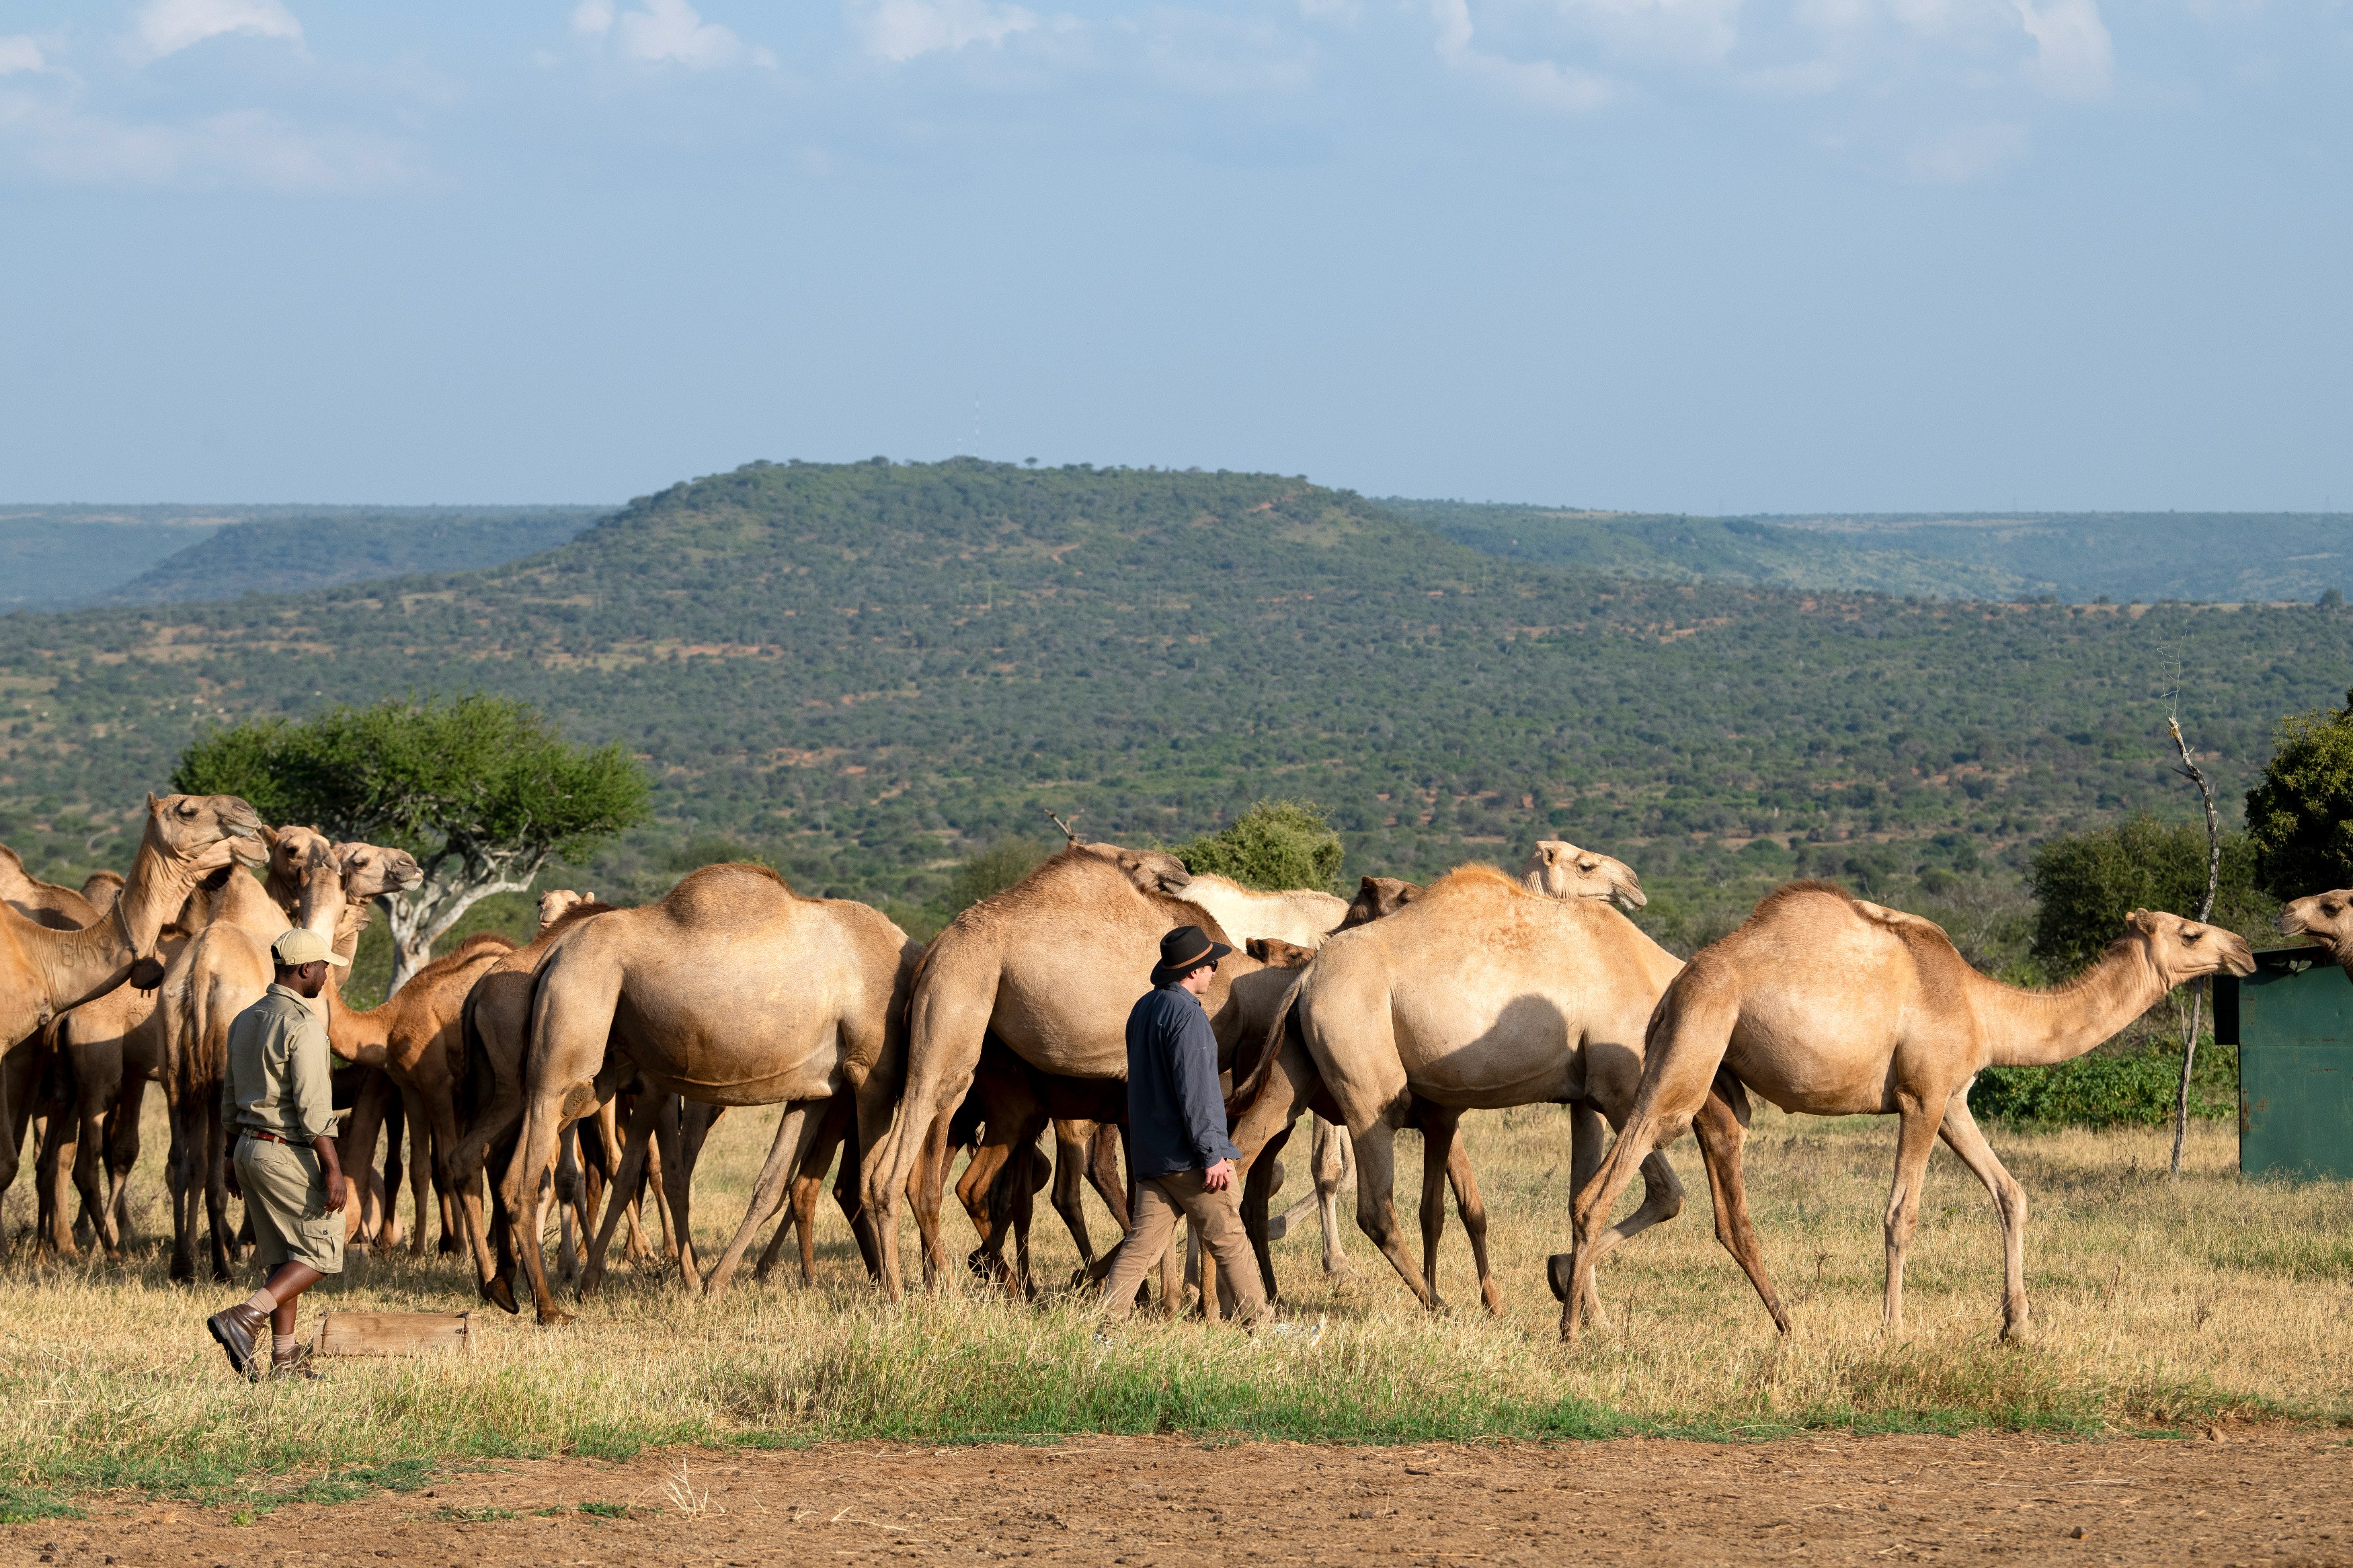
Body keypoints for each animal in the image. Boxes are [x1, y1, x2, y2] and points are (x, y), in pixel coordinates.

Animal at [498, 863, 918, 1324]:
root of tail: (553, 953)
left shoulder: (816, 1091)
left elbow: (771, 1185)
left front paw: (714, 1284)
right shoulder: (872, 1074)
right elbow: (873, 1183)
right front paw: (895, 1295)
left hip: (591, 1070)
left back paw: (523, 1289)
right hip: (570, 1036)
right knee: (523, 1176)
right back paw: (548, 1307)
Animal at [1226, 865, 1697, 1313]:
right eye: (1585, 866)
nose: (1634, 887)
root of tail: (1305, 980)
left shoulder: (1584, 1097)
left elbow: (1581, 1195)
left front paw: (1584, 1305)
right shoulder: (1621, 1089)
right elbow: (1665, 1193)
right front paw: (1566, 1289)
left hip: (1293, 1071)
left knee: (1242, 1158)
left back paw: (1239, 1303)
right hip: (1365, 1081)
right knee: (1375, 1207)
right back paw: (1438, 1305)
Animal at [1561, 882, 2256, 1342]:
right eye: (2190, 932)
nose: (2245, 950)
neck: (1983, 1006)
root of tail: (1673, 990)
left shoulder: (1953, 1099)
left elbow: (2011, 1191)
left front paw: (2017, 1327)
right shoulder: (1921, 1097)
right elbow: (1902, 1214)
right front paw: (1893, 1330)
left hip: (1719, 1086)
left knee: (1726, 1213)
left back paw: (1780, 1324)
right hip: (1689, 1052)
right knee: (1599, 1190)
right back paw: (1570, 1330)